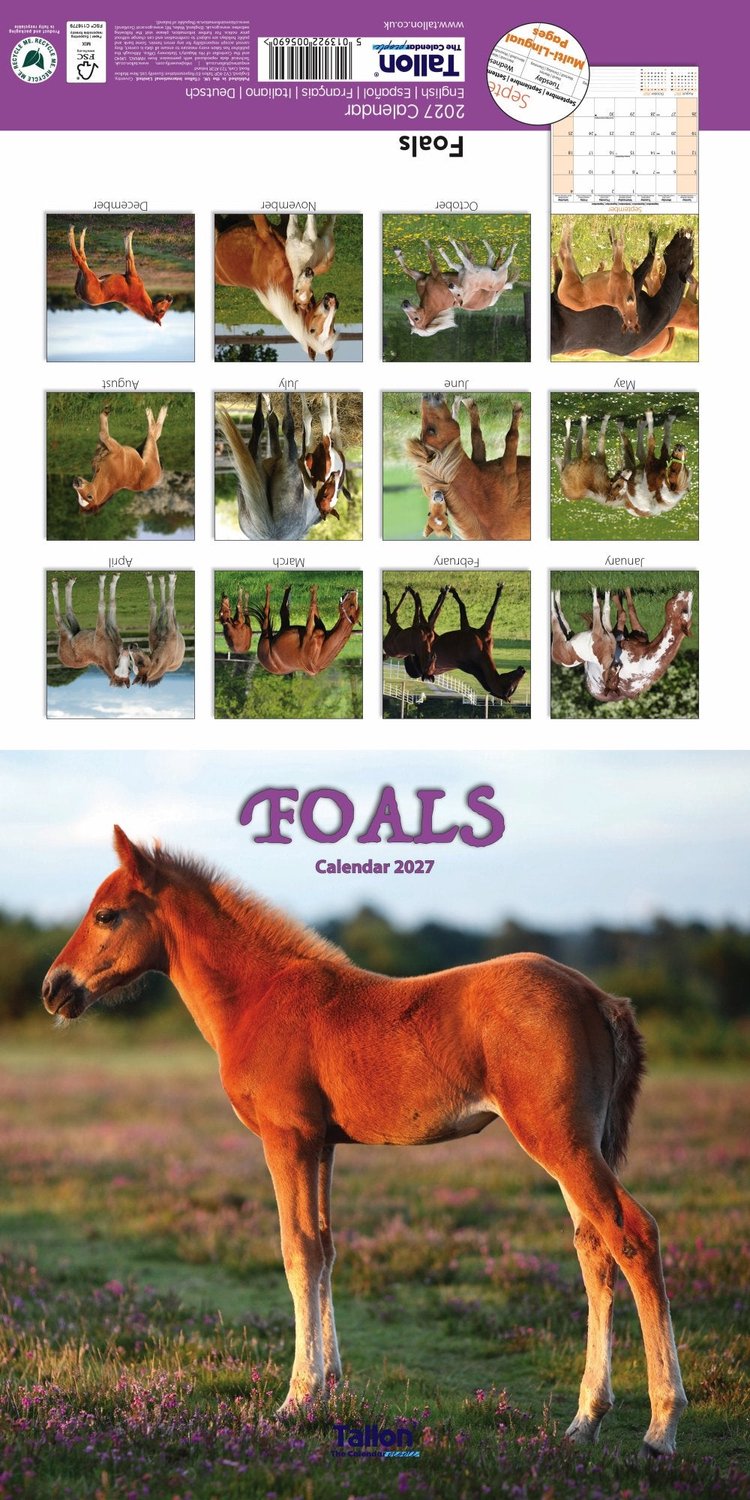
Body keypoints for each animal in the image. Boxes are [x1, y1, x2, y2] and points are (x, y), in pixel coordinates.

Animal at [42, 826, 687, 1455]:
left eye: (106, 915)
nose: (53, 989)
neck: (258, 996)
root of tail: (597, 998)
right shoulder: (322, 1143)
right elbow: (325, 1250)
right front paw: (330, 1388)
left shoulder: (288, 1138)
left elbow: (298, 1251)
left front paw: (296, 1399)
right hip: (577, 1143)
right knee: (594, 1249)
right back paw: (585, 1420)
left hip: (559, 1139)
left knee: (632, 1234)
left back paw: (661, 1427)